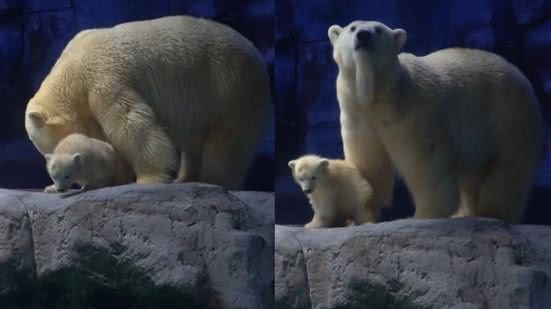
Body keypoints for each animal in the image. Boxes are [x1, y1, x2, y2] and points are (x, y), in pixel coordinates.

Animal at [25, 15, 272, 189]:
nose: (63, 181)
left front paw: (147, 178)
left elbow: (130, 124)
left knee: (226, 140)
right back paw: (185, 178)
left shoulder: (104, 78)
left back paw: (214, 180)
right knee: (194, 141)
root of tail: (256, 53)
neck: (73, 66)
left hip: (228, 85)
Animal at [328, 20, 544, 223]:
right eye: (353, 28)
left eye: (378, 29)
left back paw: (491, 212)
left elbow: (425, 161)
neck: (382, 95)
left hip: (507, 116)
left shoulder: (414, 111)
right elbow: (369, 161)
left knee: (507, 170)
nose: (363, 35)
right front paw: (362, 211)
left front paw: (423, 214)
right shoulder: (359, 114)